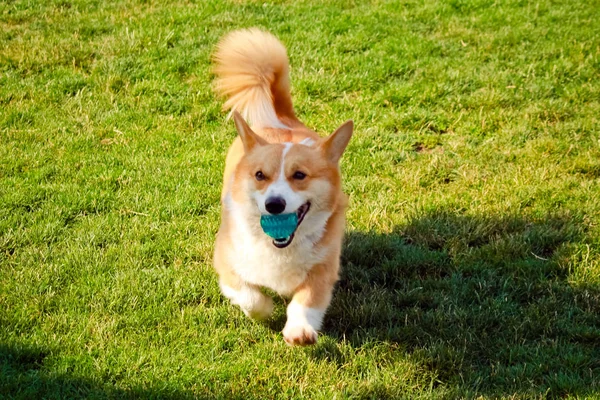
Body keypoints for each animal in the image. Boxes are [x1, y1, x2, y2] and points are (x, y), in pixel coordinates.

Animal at [211, 29, 352, 346]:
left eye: (299, 175)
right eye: (260, 175)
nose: (274, 205)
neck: (278, 247)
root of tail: (281, 118)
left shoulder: (324, 267)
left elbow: (307, 300)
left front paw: (299, 330)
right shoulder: (226, 259)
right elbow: (249, 295)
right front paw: (264, 311)